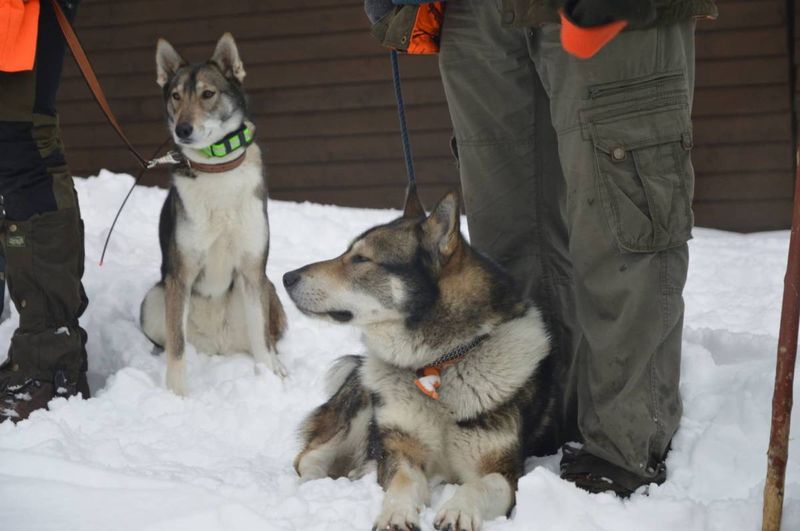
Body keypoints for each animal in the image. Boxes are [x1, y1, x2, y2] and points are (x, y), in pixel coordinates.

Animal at [141, 34, 288, 394]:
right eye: (176, 96)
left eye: (208, 94)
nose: (182, 129)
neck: (217, 169)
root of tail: (220, 346)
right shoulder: (179, 275)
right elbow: (177, 349)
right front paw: (176, 395)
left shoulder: (252, 270)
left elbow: (262, 341)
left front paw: (270, 380)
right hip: (154, 299)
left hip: (267, 289)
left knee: (267, 339)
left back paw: (277, 367)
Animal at [282, 186, 556, 528]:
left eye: (360, 259)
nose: (286, 277)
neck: (438, 365)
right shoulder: (402, 451)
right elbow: (402, 482)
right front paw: (395, 513)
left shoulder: (504, 471)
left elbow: (479, 485)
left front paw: (459, 509)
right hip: (360, 410)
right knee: (309, 459)